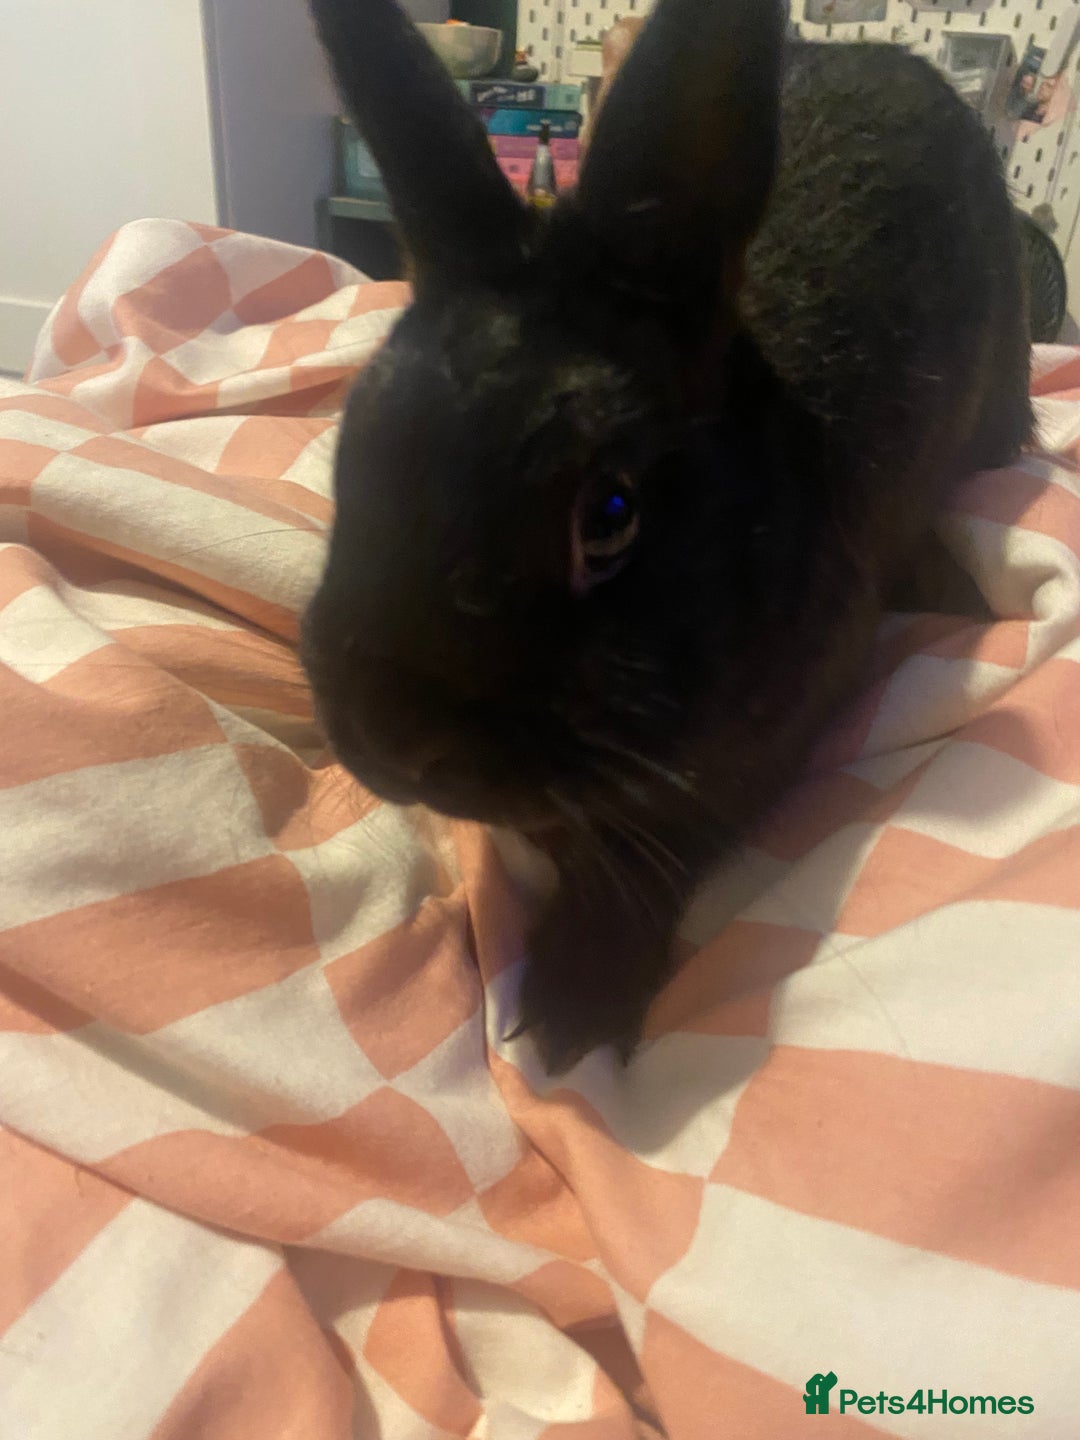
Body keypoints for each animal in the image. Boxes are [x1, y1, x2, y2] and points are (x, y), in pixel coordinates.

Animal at [302, 0, 1032, 1074]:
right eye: (355, 442)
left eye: (609, 517)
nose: (392, 742)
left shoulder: (740, 761)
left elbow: (648, 853)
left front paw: (572, 1006)